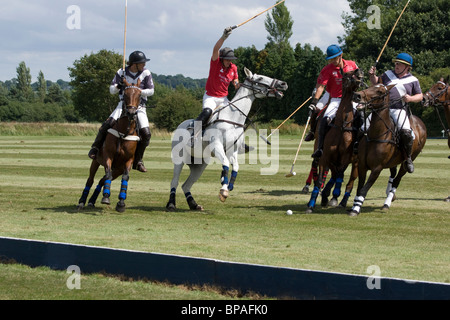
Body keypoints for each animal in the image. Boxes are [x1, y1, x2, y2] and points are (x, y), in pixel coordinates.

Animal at [77, 79, 141, 212]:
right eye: (125, 95)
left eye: (139, 95)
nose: (131, 113)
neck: (124, 132)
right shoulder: (108, 156)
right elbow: (107, 173)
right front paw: (106, 197)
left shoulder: (128, 160)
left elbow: (125, 177)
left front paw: (121, 203)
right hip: (96, 161)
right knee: (91, 179)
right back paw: (82, 201)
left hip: (118, 169)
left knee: (102, 180)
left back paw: (92, 201)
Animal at [166, 67, 288, 211]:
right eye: (260, 78)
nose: (283, 84)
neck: (233, 118)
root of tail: (181, 125)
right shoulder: (217, 145)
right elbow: (225, 163)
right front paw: (223, 190)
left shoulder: (232, 149)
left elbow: (235, 167)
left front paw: (229, 186)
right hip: (179, 158)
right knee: (174, 181)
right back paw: (171, 204)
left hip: (200, 164)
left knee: (186, 185)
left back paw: (194, 205)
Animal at [306, 69, 366, 212]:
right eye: (347, 75)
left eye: (355, 68)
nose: (360, 71)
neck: (341, 125)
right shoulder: (325, 156)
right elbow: (321, 178)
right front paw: (312, 203)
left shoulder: (345, 157)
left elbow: (339, 176)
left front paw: (333, 197)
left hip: (355, 162)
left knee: (349, 181)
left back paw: (341, 201)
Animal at [350, 82, 428, 215]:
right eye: (370, 86)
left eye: (380, 91)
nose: (357, 95)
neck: (375, 135)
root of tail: (420, 122)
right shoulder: (362, 165)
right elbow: (360, 188)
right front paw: (355, 206)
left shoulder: (377, 168)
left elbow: (364, 189)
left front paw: (355, 209)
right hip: (393, 161)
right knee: (393, 175)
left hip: (408, 160)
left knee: (397, 179)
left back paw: (387, 203)